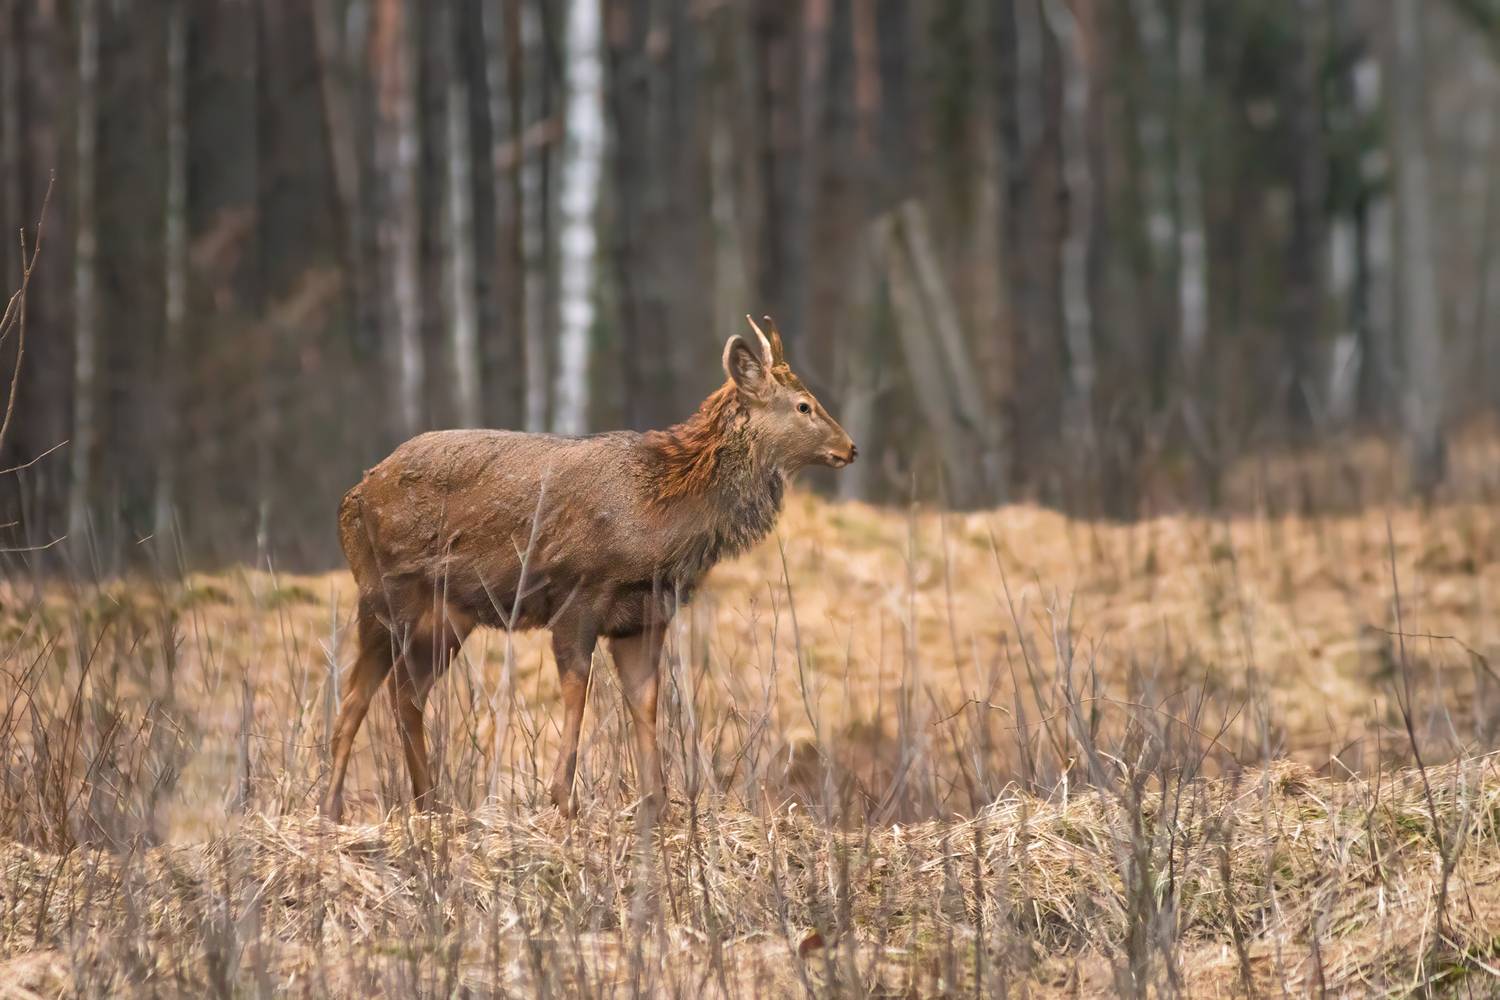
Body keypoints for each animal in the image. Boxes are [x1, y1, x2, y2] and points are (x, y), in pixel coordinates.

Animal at [322, 316, 856, 821]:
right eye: (804, 405)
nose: (850, 448)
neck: (659, 518)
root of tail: (352, 496)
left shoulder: (644, 616)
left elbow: (645, 698)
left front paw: (657, 803)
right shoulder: (577, 595)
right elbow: (578, 688)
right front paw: (564, 798)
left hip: (448, 615)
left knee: (402, 694)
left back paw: (426, 804)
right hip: (385, 594)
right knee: (358, 696)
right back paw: (337, 808)